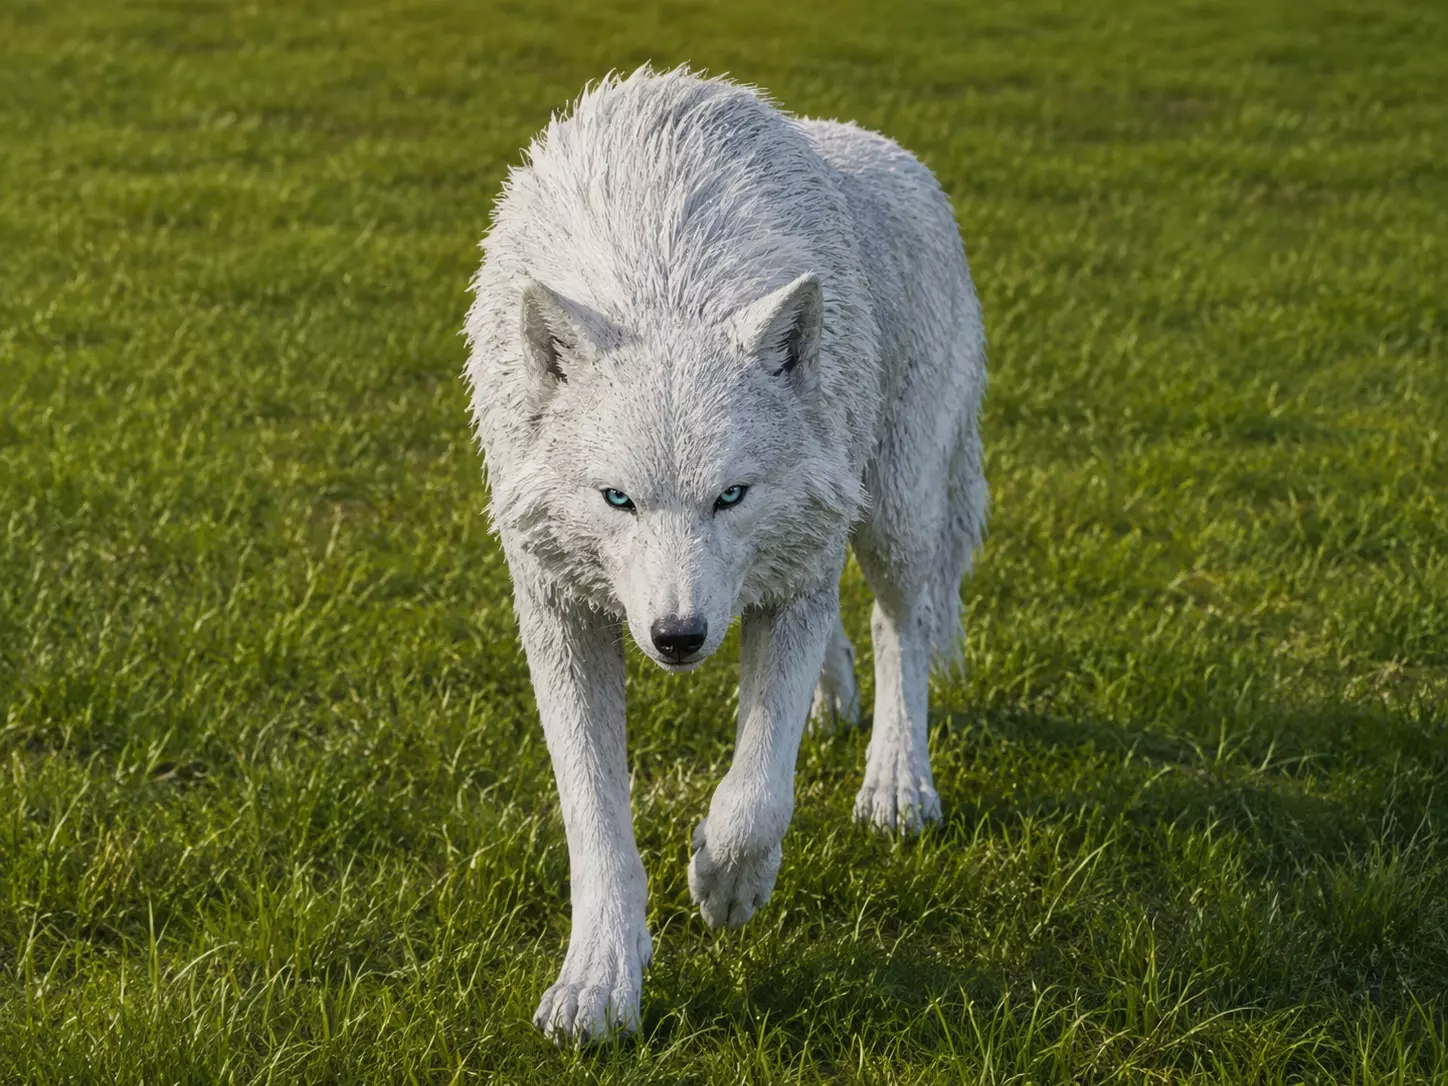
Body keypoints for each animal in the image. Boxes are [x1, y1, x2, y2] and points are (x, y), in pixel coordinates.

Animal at [462, 66, 987, 1043]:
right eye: (617, 499)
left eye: (730, 495)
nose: (678, 638)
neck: (663, 269)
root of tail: (894, 153)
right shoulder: (560, 608)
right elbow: (594, 819)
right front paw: (598, 982)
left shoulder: (790, 586)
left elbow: (759, 793)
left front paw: (726, 883)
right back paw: (834, 707)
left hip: (893, 512)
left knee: (901, 629)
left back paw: (896, 784)